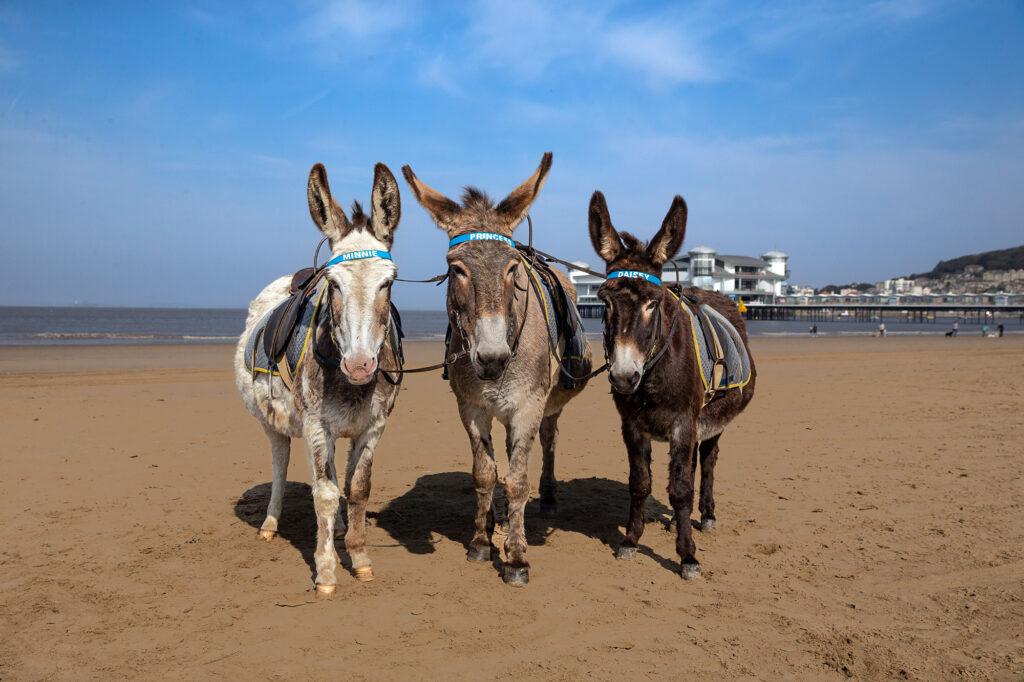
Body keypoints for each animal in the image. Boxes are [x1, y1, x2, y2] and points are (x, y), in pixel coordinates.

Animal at [234, 162, 403, 595]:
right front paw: (326, 571)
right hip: (275, 424)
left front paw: (358, 557)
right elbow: (324, 493)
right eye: (334, 283)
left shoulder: (374, 426)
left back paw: (339, 527)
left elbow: (357, 489)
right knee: (281, 465)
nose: (359, 366)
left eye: (388, 282)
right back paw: (270, 524)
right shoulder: (315, 424)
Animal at [401, 152, 593, 586]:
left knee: (548, 441)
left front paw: (517, 557)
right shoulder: (472, 408)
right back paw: (496, 522)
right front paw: (481, 541)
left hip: (548, 404)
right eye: (456, 268)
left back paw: (545, 499)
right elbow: (485, 473)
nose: (491, 358)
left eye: (511, 269)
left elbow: (518, 480)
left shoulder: (527, 407)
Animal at [587, 190, 756, 580]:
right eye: (604, 301)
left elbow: (680, 489)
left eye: (653, 302)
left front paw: (688, 556)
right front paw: (631, 540)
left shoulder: (684, 423)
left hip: (712, 421)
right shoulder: (633, 426)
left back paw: (705, 515)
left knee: (707, 462)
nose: (623, 377)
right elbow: (640, 484)